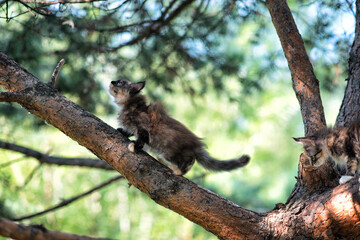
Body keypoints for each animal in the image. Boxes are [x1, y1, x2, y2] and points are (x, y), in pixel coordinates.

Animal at [109, 79, 250, 175]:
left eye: (120, 83)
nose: (112, 81)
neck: (130, 105)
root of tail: (197, 145)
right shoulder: (134, 127)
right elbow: (130, 131)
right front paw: (122, 131)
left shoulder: (143, 127)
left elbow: (141, 138)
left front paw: (135, 146)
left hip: (170, 151)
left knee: (190, 160)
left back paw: (179, 171)